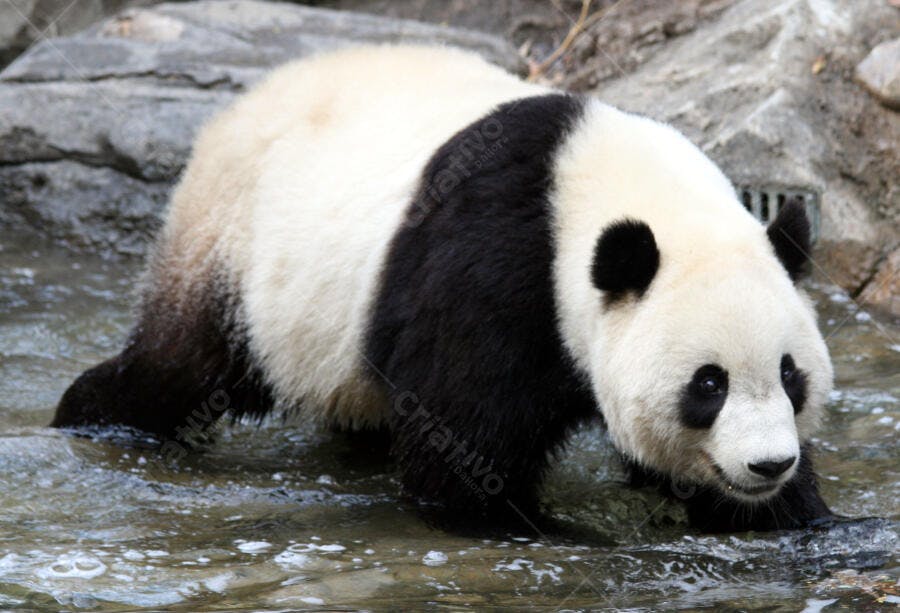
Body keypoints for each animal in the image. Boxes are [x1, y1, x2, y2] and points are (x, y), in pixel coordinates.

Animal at [52, 45, 835, 532]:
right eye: (708, 384)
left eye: (789, 374)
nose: (768, 464)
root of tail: (235, 110)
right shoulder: (495, 263)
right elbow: (465, 446)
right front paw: (542, 529)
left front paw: (797, 519)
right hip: (234, 248)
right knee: (181, 364)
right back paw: (91, 417)